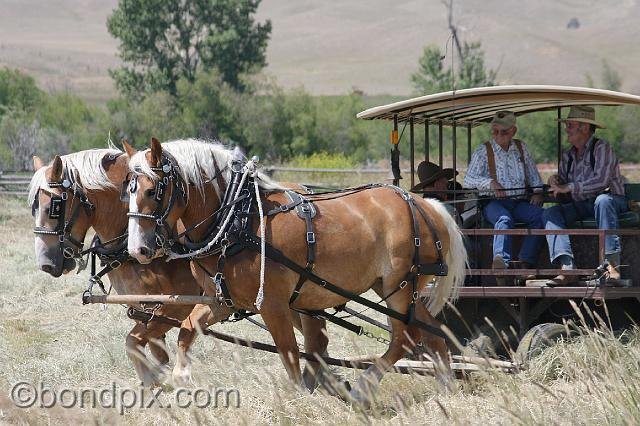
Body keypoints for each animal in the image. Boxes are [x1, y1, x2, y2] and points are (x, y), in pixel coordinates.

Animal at [30, 150, 234, 386]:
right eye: (33, 207)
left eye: (53, 207)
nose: (45, 263)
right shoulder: (144, 309)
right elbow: (153, 350)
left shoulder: (179, 305)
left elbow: (133, 341)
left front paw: (157, 379)